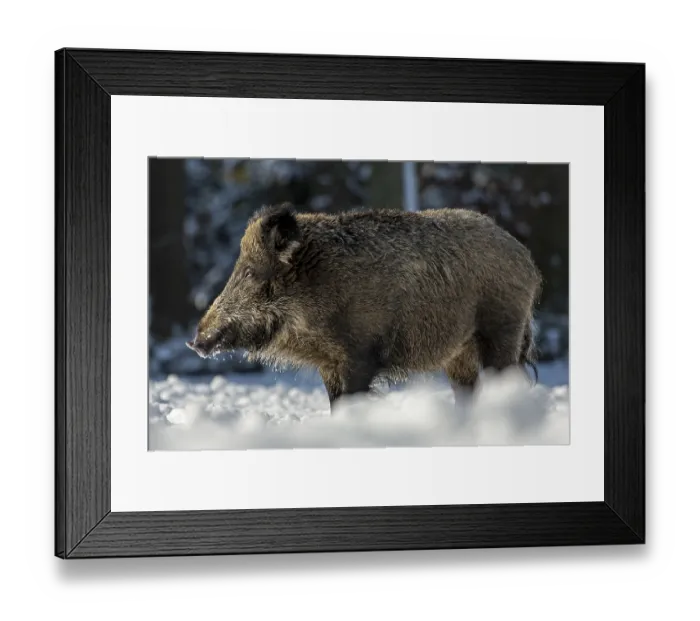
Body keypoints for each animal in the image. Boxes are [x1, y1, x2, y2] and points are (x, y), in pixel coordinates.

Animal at [187, 203, 542, 407]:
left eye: (249, 272)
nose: (195, 341)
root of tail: (526, 259)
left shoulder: (360, 355)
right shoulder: (329, 364)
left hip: (502, 329)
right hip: (460, 353)